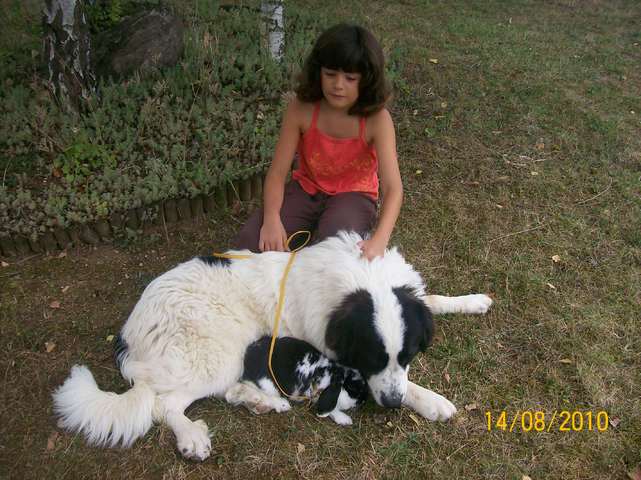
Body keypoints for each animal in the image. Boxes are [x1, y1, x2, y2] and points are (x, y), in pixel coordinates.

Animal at [225, 336, 369, 425]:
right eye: (353, 389)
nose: (363, 401)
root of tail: (247, 357)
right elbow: (331, 409)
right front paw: (345, 419)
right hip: (268, 385)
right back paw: (281, 405)